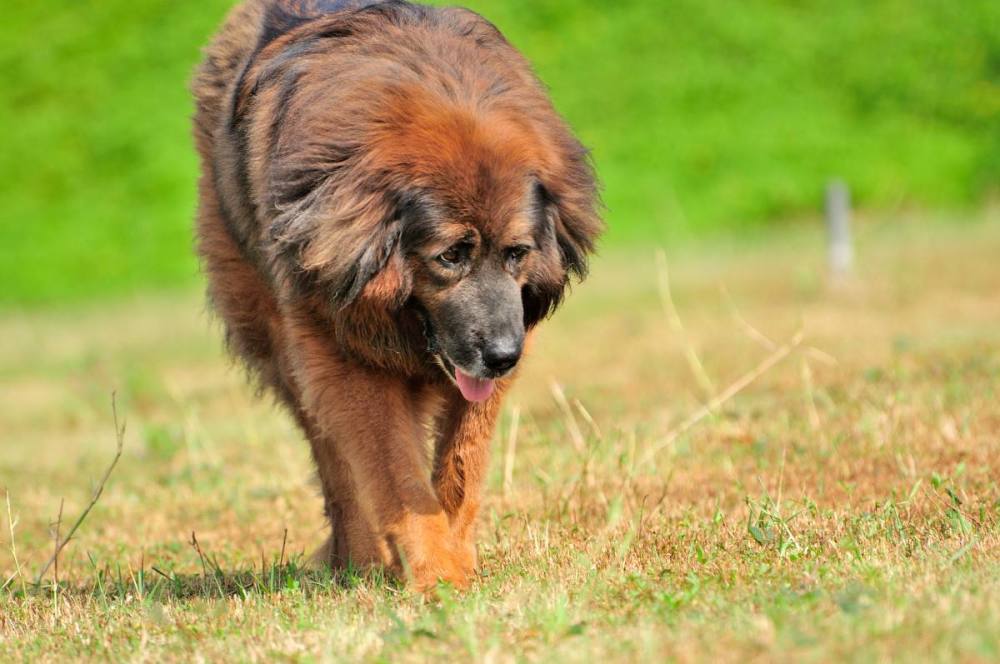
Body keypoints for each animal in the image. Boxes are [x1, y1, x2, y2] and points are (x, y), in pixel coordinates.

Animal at [193, 0, 600, 592]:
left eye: (517, 253)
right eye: (450, 256)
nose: (505, 356)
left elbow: (460, 464)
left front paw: (455, 556)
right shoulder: (344, 356)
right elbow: (395, 477)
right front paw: (436, 572)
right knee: (335, 466)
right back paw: (360, 560)